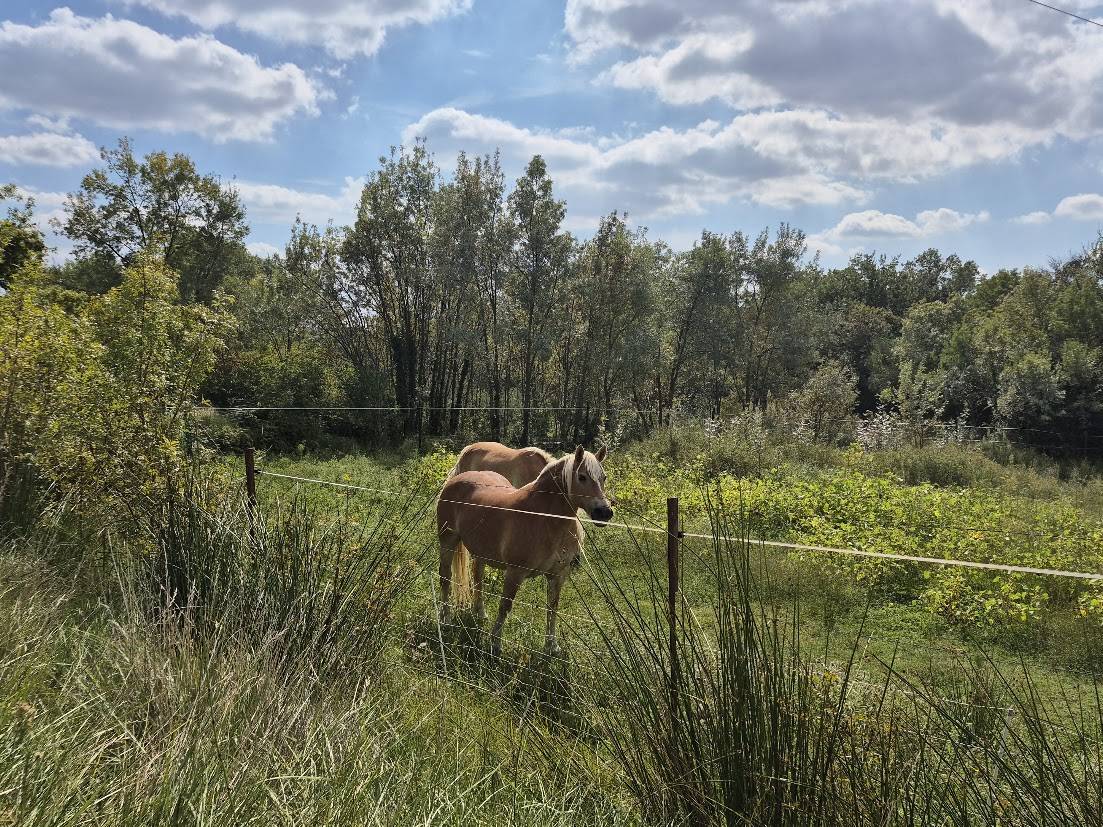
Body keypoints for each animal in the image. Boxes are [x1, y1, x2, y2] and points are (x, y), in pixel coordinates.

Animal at [436, 444, 613, 657]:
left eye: (603, 477)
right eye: (582, 477)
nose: (604, 512)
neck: (544, 517)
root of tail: (457, 479)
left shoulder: (558, 574)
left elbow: (552, 607)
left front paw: (551, 645)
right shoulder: (515, 573)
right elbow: (505, 606)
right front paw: (495, 644)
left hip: (480, 551)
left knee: (477, 577)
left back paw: (480, 613)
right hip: (448, 542)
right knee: (445, 577)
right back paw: (445, 619)